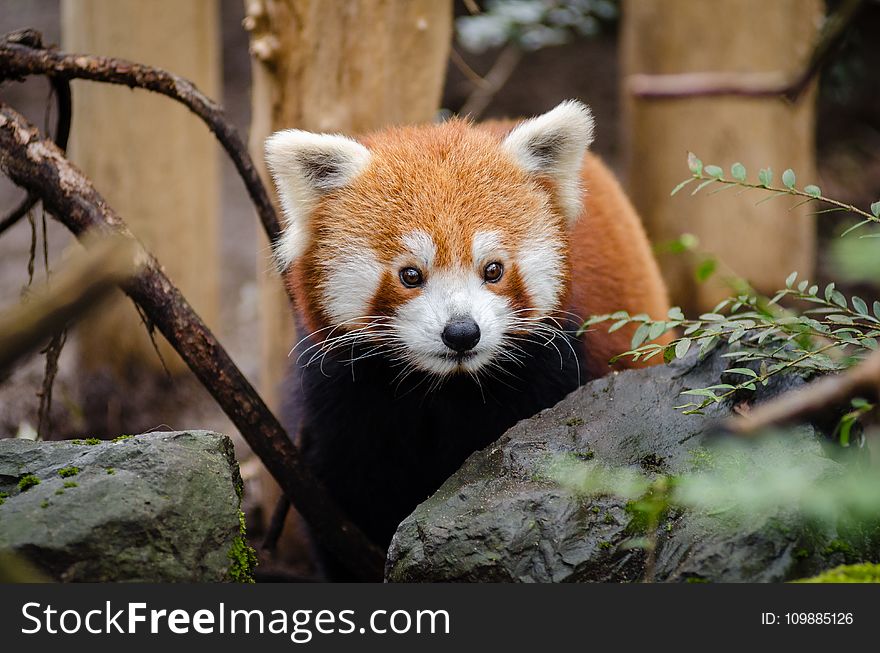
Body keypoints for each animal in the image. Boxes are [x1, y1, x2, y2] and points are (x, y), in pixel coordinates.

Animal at [264, 99, 672, 580]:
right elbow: (348, 497)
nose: (461, 332)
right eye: (410, 275)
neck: (443, 390)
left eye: (493, 269)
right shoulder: (342, 400)